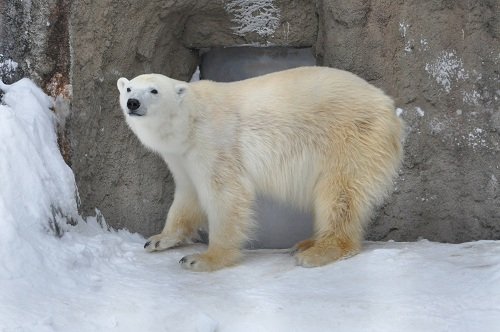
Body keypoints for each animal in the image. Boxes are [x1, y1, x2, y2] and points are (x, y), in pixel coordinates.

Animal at [116, 66, 402, 272]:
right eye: (128, 88)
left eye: (154, 90)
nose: (133, 103)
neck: (189, 122)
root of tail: (389, 107)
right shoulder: (181, 157)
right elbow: (188, 194)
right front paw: (157, 239)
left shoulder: (215, 141)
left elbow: (225, 194)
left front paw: (202, 259)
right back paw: (307, 243)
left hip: (351, 137)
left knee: (339, 192)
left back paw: (319, 251)